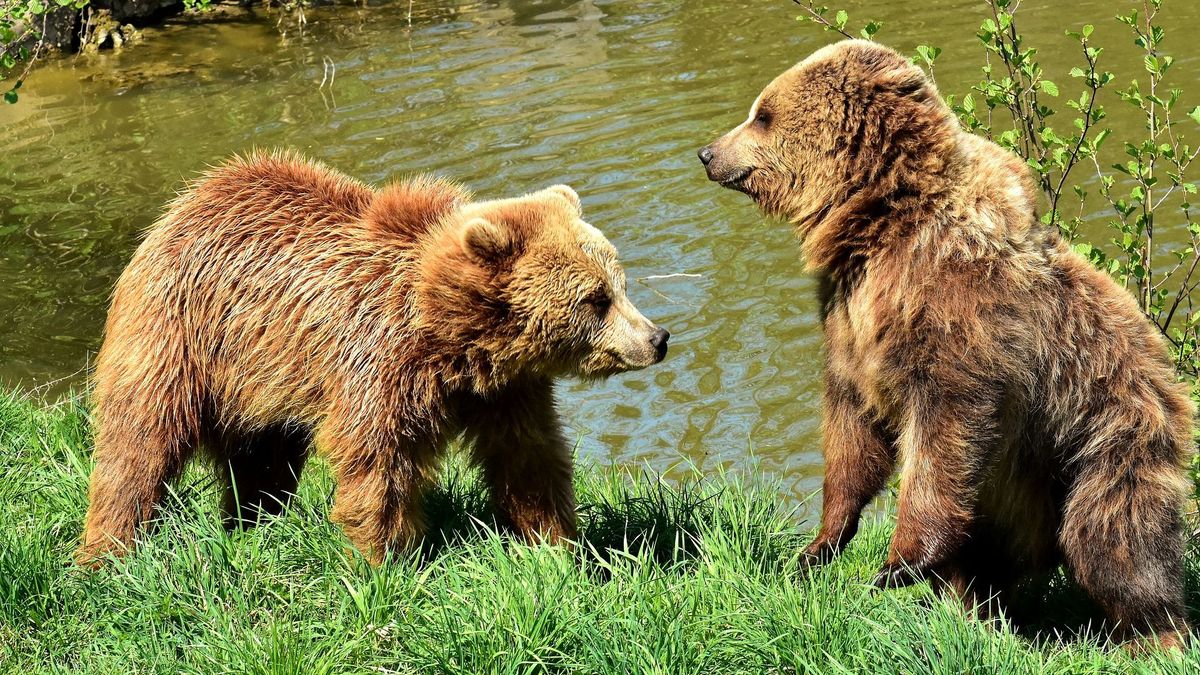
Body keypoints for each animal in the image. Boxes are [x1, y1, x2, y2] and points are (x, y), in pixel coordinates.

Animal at [78, 151, 672, 562]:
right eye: (596, 298)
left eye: (620, 284)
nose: (657, 337)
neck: (453, 341)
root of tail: (186, 202)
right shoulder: (377, 363)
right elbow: (377, 465)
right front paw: (382, 560)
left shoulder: (505, 391)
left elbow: (528, 458)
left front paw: (558, 545)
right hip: (179, 334)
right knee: (138, 442)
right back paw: (107, 551)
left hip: (259, 378)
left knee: (262, 457)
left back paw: (252, 521)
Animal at [700, 38, 1195, 648]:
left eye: (762, 115)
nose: (708, 153)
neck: (880, 227)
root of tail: (1169, 380)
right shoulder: (849, 319)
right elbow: (851, 426)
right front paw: (819, 544)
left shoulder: (958, 312)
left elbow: (946, 428)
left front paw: (896, 564)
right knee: (996, 553)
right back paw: (972, 607)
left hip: (1104, 432)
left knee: (1114, 538)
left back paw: (1155, 635)